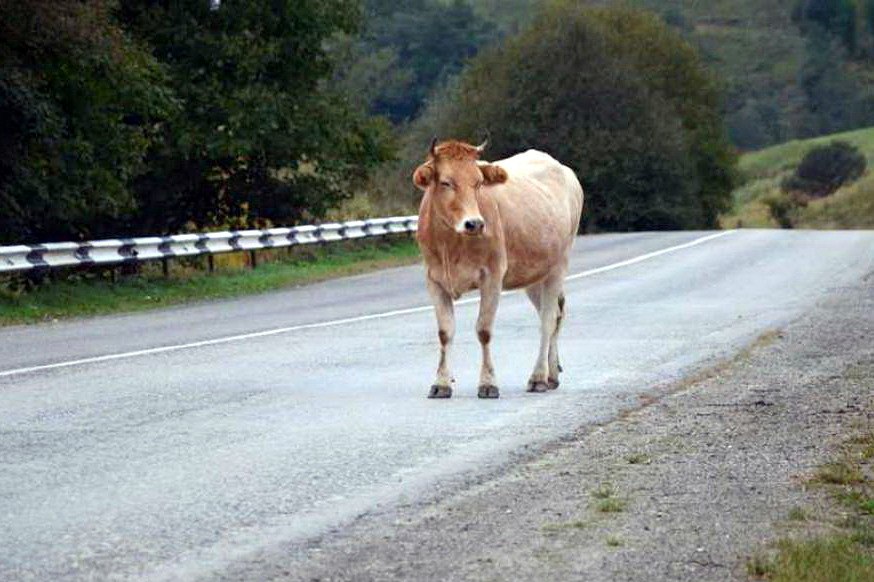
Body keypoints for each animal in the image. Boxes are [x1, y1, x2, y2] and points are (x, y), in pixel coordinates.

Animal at [412, 139, 584, 400]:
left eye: (478, 182)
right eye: (446, 182)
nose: (474, 223)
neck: (452, 244)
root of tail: (564, 169)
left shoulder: (492, 276)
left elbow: (483, 330)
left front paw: (488, 383)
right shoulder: (434, 279)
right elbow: (445, 332)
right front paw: (441, 383)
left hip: (558, 265)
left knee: (547, 320)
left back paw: (538, 377)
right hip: (534, 273)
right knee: (554, 313)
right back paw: (552, 374)